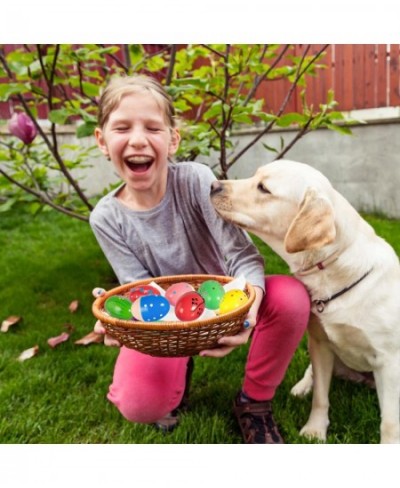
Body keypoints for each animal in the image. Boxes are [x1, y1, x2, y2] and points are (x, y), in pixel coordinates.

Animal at [209, 159, 400, 442]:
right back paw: (301, 387)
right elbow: (321, 396)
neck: (332, 270)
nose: (213, 185)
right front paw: (314, 430)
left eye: (263, 188)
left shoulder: (389, 362)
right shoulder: (320, 343)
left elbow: (389, 422)